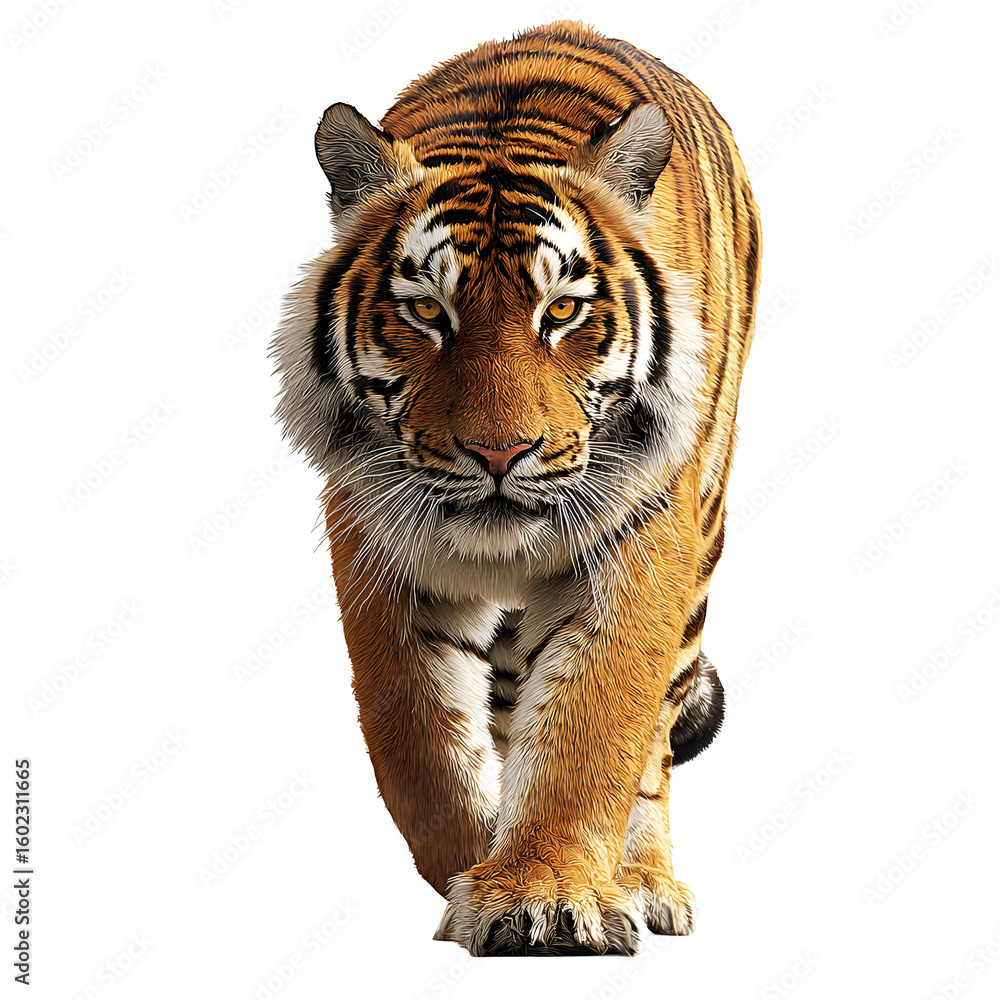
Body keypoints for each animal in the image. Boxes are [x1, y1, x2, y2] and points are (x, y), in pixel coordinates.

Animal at [271, 19, 761, 956]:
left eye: (561, 311)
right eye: (427, 311)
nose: (501, 453)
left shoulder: (639, 536)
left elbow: (592, 726)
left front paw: (545, 896)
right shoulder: (373, 538)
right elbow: (417, 739)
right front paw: (477, 875)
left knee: (653, 743)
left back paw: (645, 880)